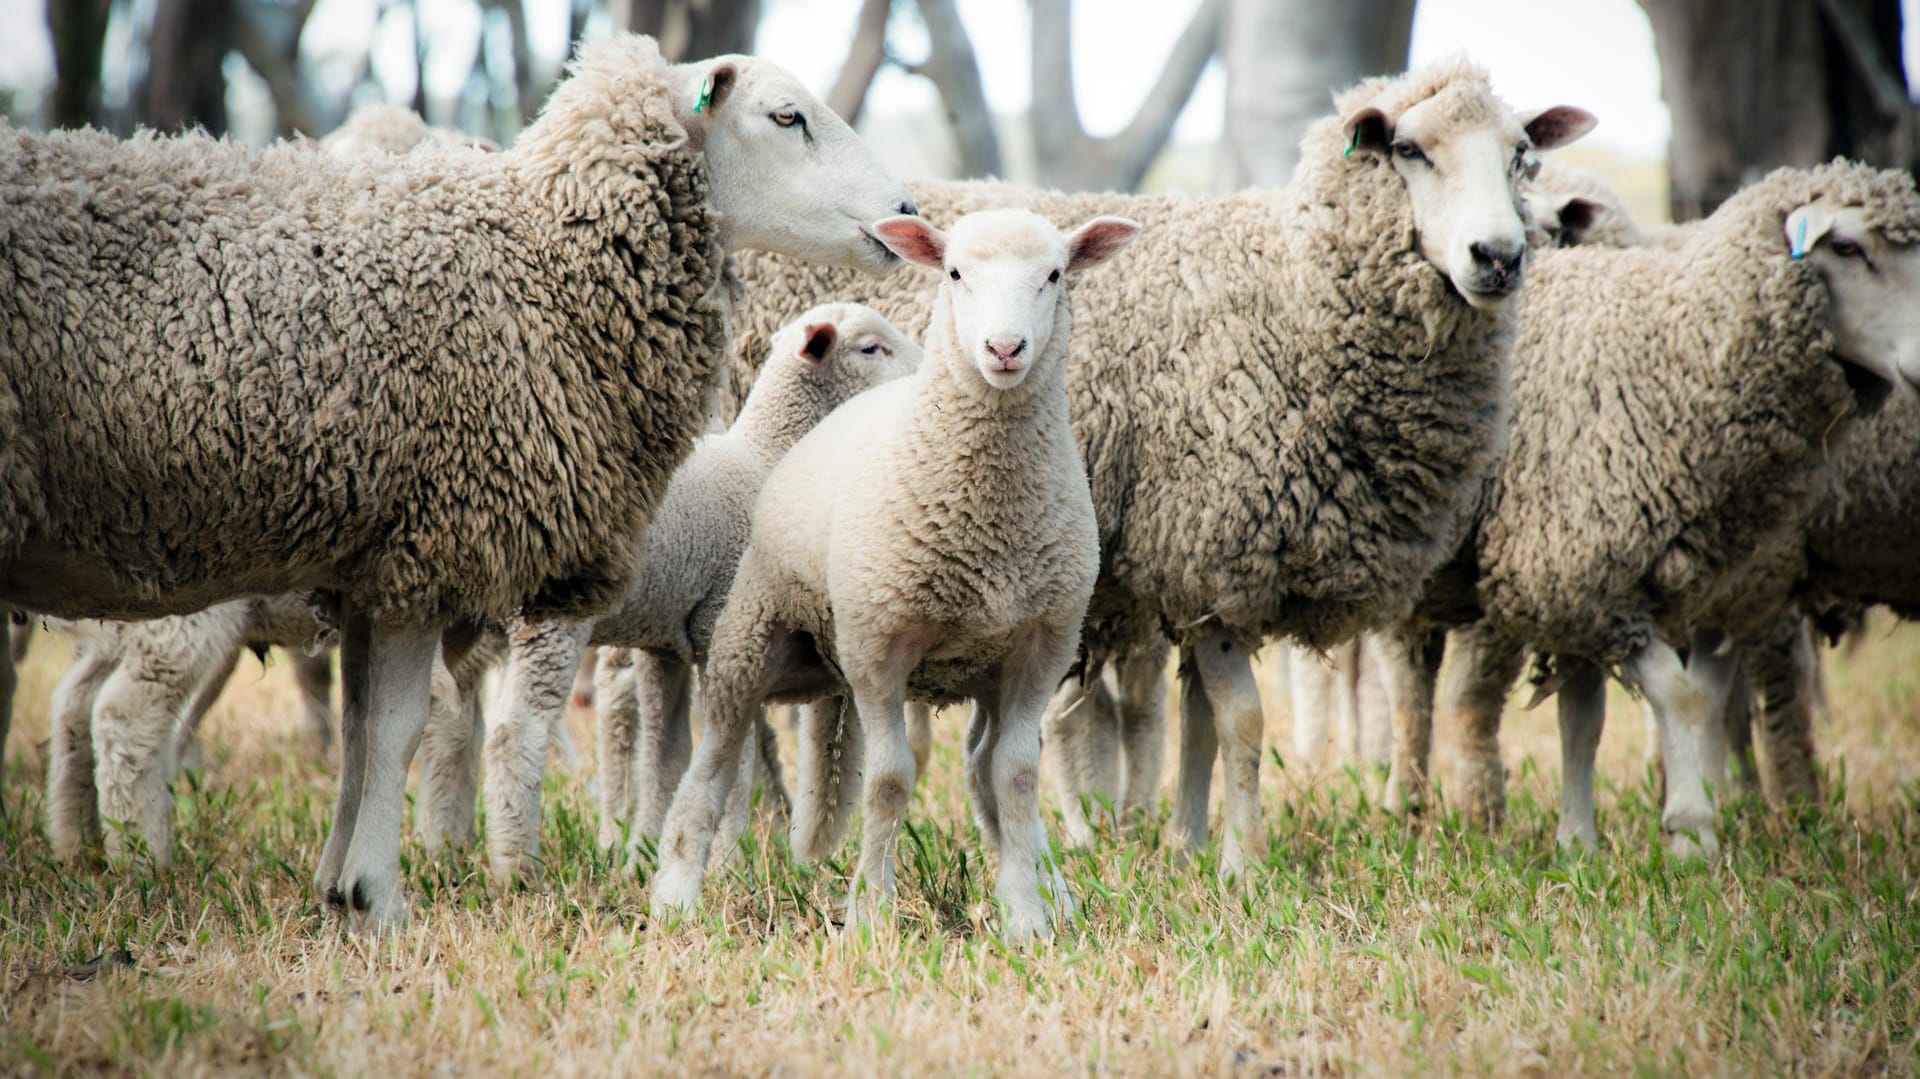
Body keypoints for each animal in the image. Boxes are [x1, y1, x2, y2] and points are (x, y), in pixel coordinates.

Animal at [483, 299, 925, 875]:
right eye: (871, 347)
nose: (928, 367)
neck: (766, 455)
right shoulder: (725, 626)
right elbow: (735, 754)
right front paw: (726, 859)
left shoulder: (665, 643)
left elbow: (665, 753)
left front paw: (643, 855)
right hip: (553, 617)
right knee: (516, 732)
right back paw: (517, 867)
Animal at [652, 208, 1144, 933]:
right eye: (955, 272)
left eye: (1055, 274)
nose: (1004, 349)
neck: (991, 511)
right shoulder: (876, 645)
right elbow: (888, 782)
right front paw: (869, 913)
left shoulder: (1042, 647)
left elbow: (1017, 776)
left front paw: (1027, 912)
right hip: (752, 632)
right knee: (714, 753)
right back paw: (676, 889)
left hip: (980, 670)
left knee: (985, 766)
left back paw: (1049, 882)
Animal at [721, 58, 1589, 875]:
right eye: (1410, 151)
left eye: (1522, 156)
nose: (1498, 257)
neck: (1292, 292)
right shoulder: (1214, 546)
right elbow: (1242, 720)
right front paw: (1244, 863)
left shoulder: (1197, 574)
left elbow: (1199, 722)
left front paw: (1189, 841)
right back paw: (747, 823)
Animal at [1390, 159, 1920, 852]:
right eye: (1850, 248)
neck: (1672, 351)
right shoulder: (1568, 571)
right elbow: (1681, 693)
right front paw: (1692, 831)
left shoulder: (1640, 584)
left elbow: (1591, 716)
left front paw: (1580, 843)